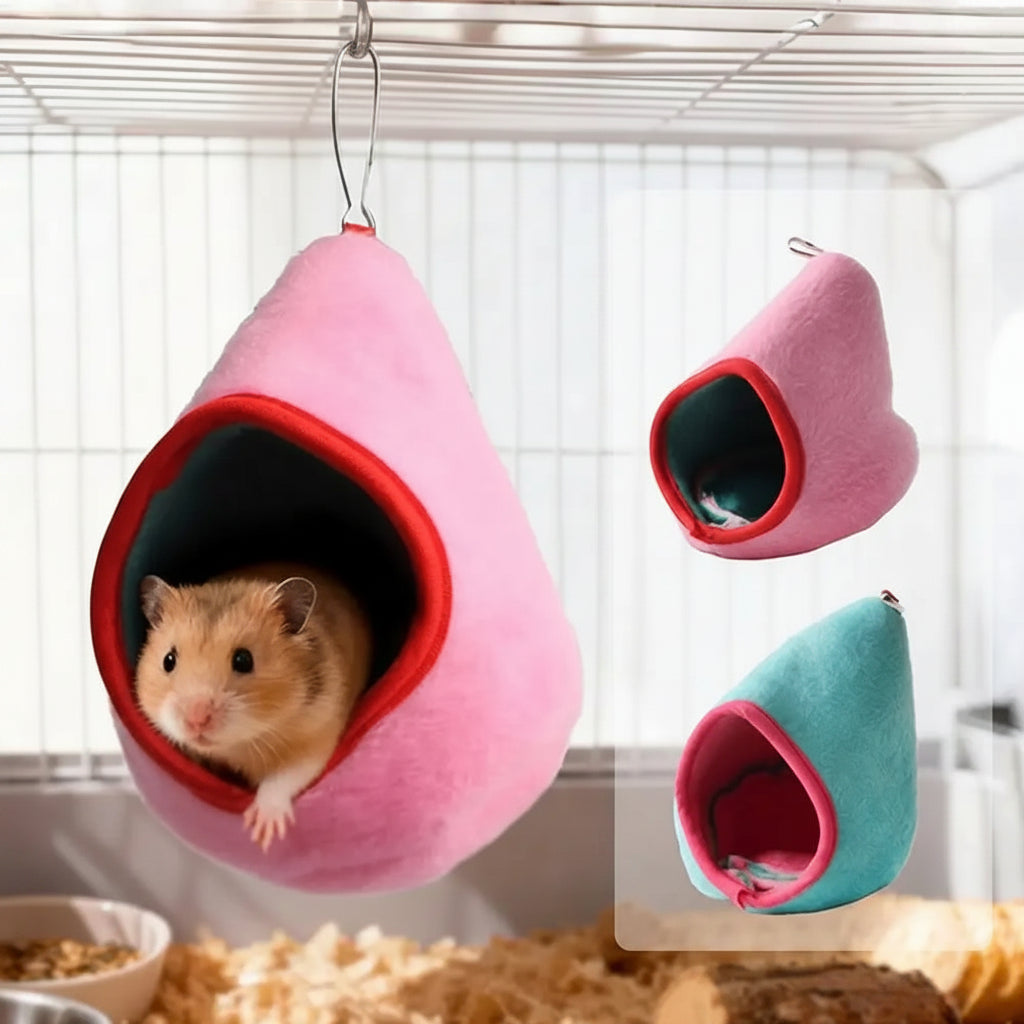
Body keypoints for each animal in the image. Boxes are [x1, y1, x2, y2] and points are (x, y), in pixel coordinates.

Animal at [134, 562, 373, 851]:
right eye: (168, 660)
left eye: (244, 660)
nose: (196, 720)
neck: (239, 744)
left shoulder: (315, 735)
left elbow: (284, 777)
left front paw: (263, 832)